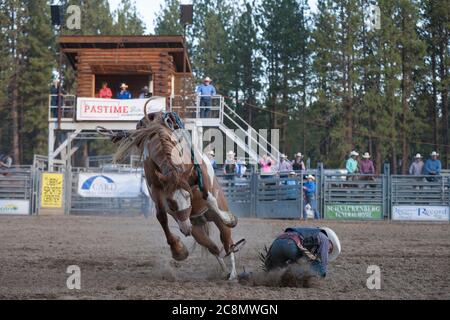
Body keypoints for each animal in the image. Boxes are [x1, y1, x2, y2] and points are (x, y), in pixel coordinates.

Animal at [100, 99, 244, 278]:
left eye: (188, 196)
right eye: (170, 202)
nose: (185, 228)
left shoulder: (199, 173)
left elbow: (209, 197)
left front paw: (230, 219)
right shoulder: (156, 190)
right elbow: (161, 216)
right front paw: (178, 251)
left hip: (212, 219)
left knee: (227, 243)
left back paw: (233, 274)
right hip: (196, 228)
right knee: (214, 248)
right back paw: (224, 271)